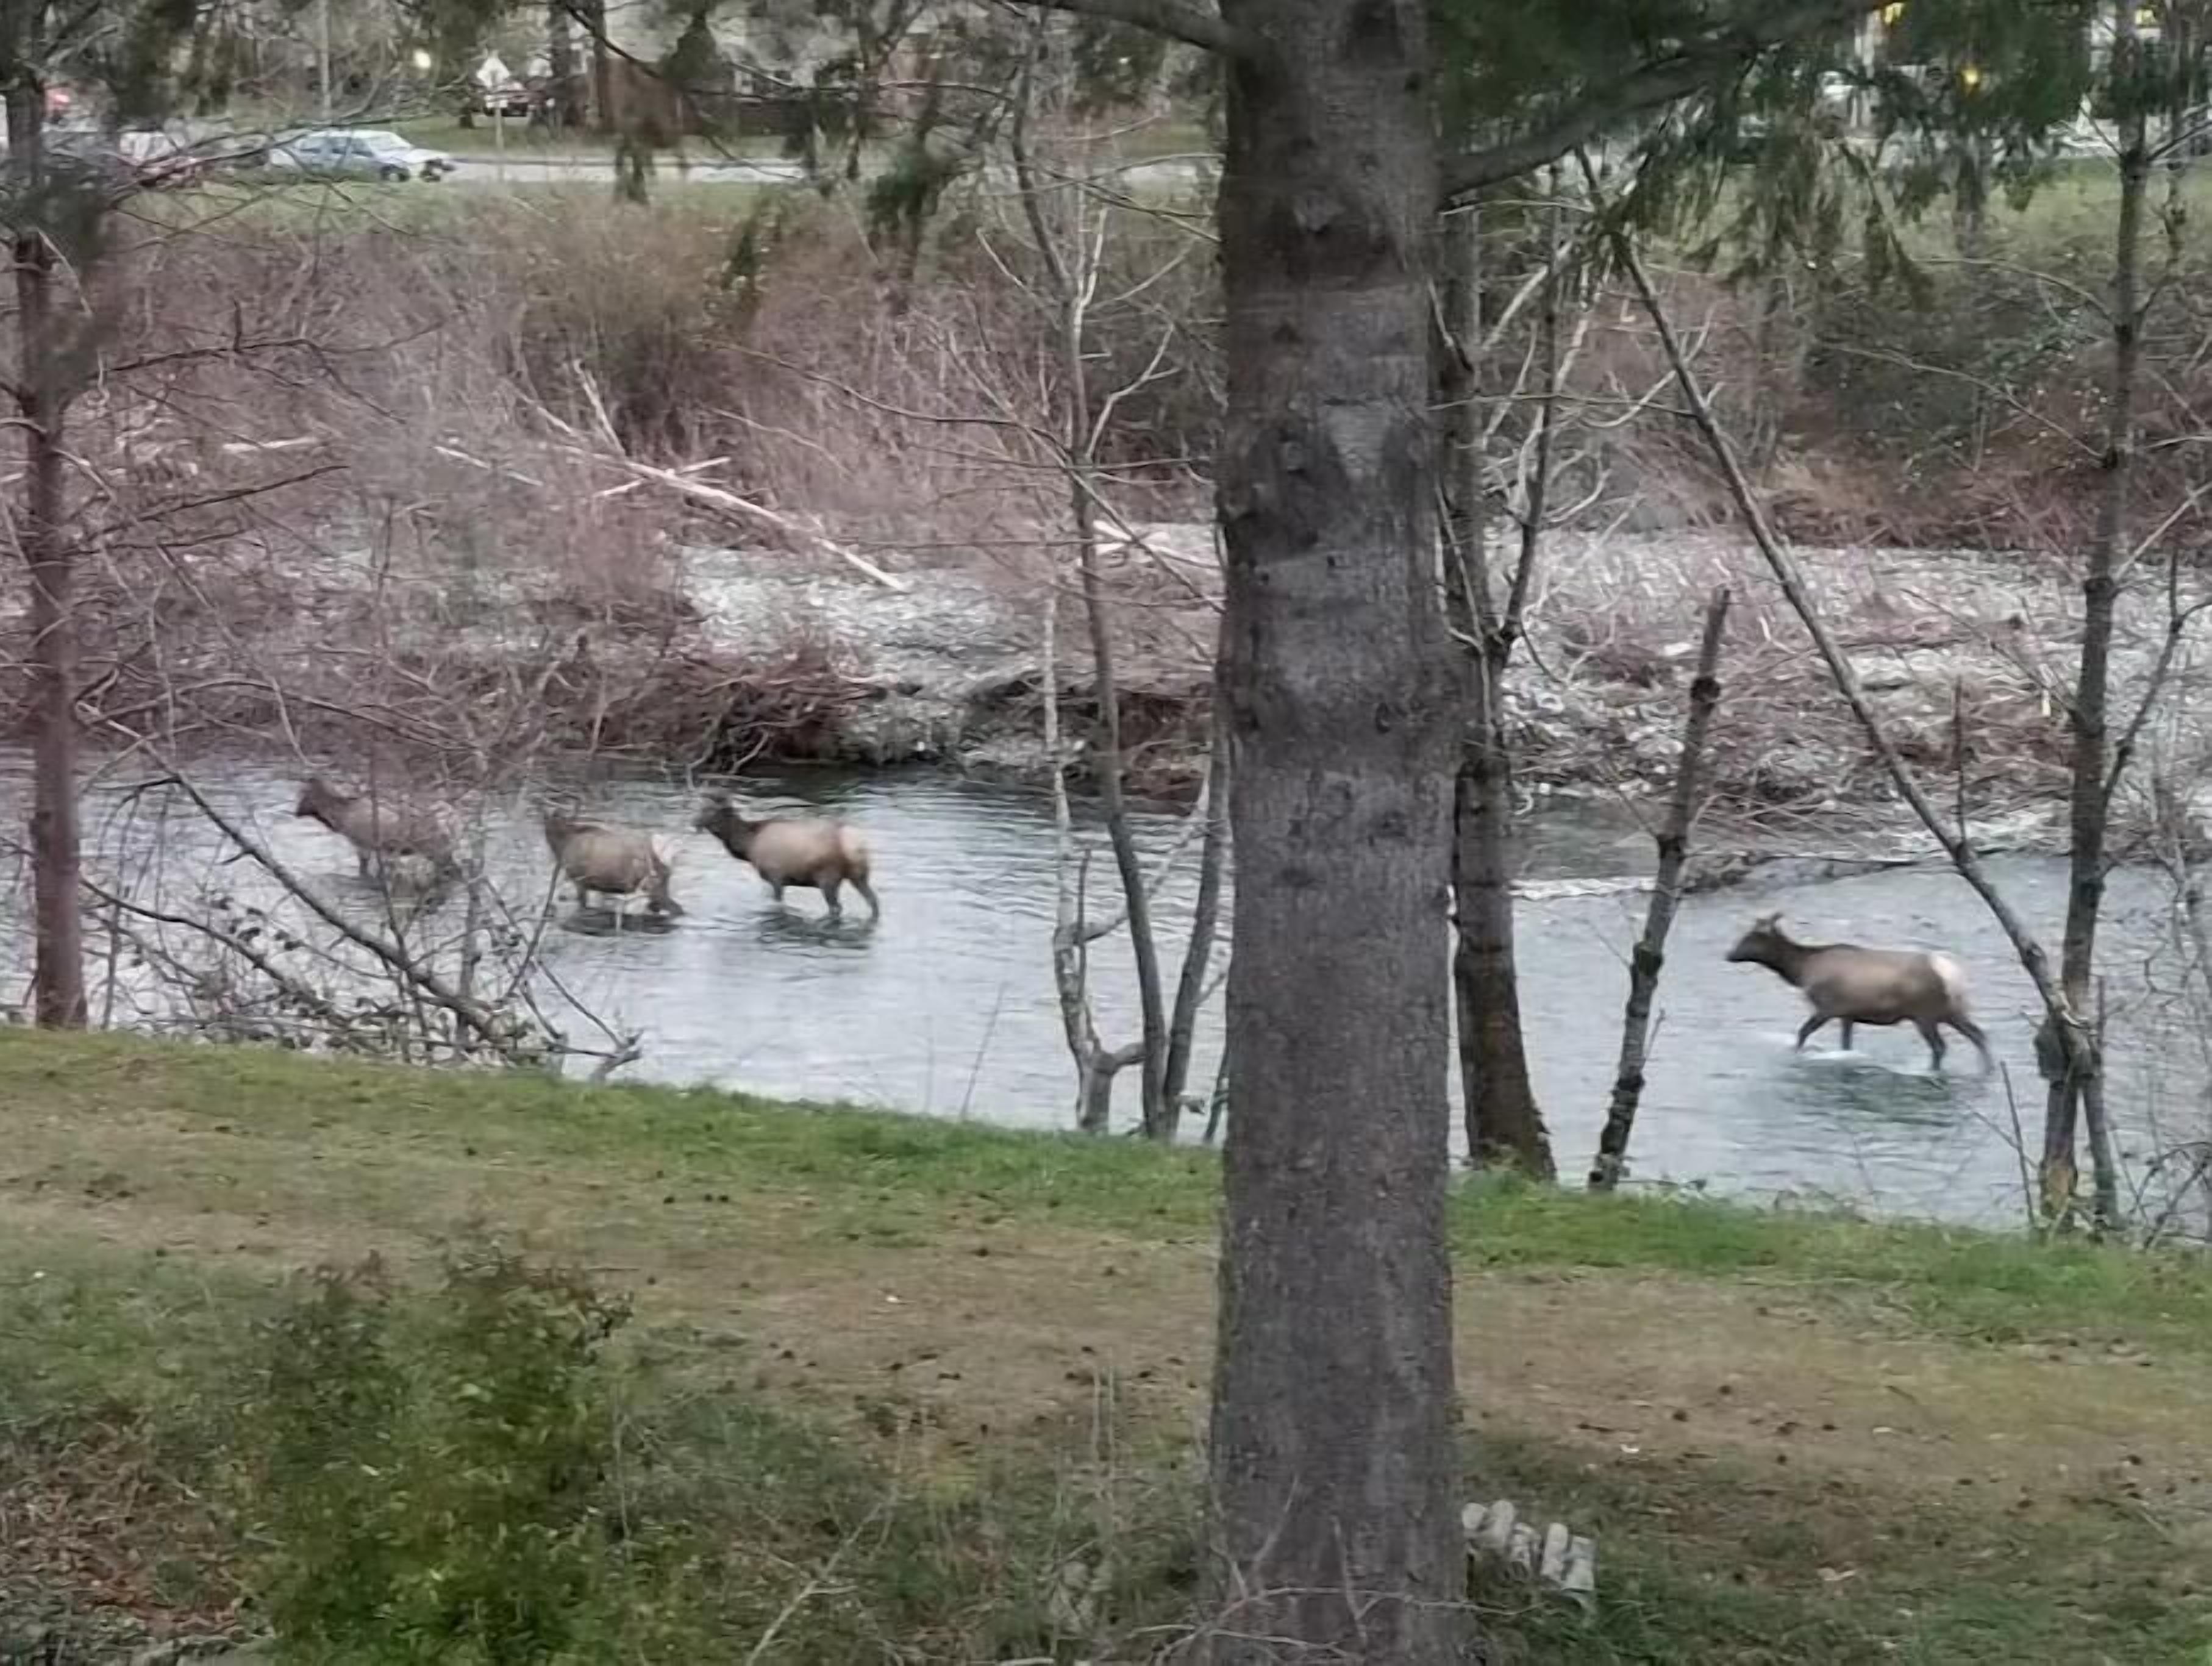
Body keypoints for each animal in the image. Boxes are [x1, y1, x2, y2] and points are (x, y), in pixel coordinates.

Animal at [692, 790, 879, 921]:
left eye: (712, 810)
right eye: (699, 808)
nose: (694, 822)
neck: (749, 846)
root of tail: (854, 843)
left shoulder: (776, 877)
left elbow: (778, 904)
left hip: (828, 877)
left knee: (837, 907)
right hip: (860, 875)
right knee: (874, 901)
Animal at [1726, 912, 1992, 1072]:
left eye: (1750, 938)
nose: (1728, 954)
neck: (1801, 972)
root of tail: (1953, 975)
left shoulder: (1827, 1008)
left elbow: (1803, 1033)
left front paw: (1795, 1054)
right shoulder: (1848, 1014)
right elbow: (1846, 1044)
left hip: (1924, 1014)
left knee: (1940, 1046)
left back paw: (1932, 1071)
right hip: (1952, 1011)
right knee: (1979, 1035)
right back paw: (1986, 1069)